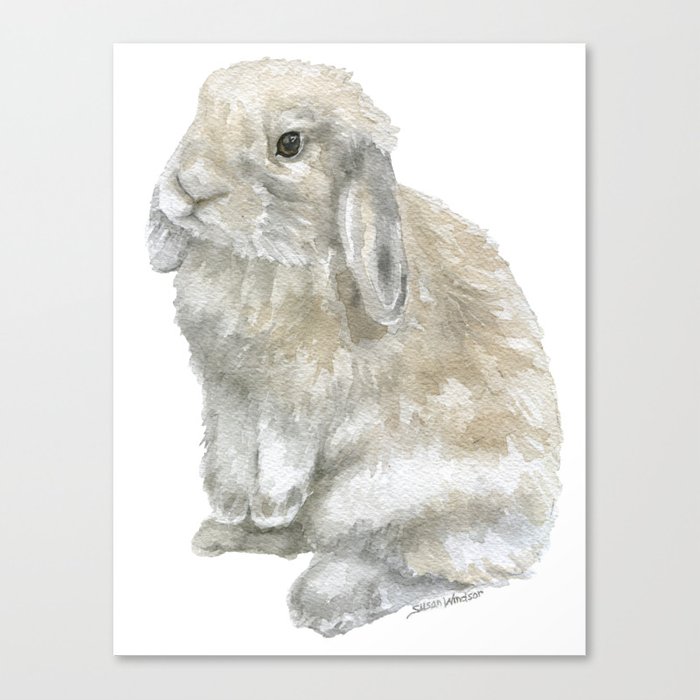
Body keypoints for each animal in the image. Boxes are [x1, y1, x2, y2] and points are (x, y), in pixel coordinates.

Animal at [147, 59, 562, 637]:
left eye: (290, 144)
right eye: (200, 114)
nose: (188, 187)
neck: (263, 259)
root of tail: (535, 525)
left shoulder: (300, 396)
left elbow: (280, 455)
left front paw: (269, 506)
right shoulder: (226, 389)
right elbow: (230, 450)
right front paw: (230, 505)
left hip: (383, 494)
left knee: (420, 564)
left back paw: (323, 601)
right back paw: (226, 537)